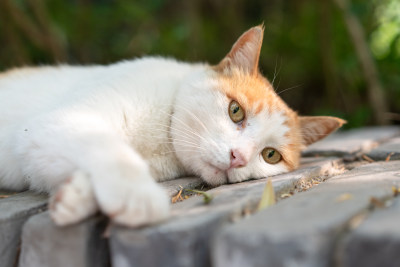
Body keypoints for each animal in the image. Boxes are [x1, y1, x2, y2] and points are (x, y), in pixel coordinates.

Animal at [0, 25, 344, 227]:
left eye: (270, 155)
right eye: (236, 111)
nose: (239, 158)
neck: (161, 139)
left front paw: (73, 198)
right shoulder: (56, 123)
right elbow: (111, 152)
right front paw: (137, 197)